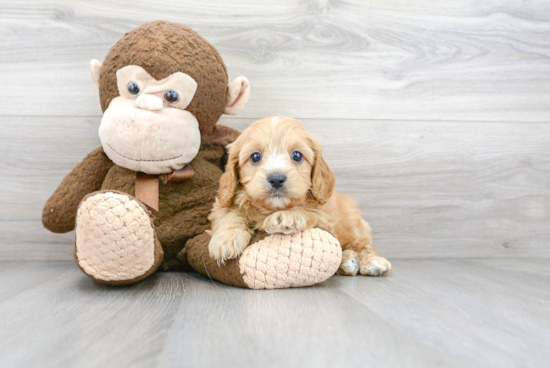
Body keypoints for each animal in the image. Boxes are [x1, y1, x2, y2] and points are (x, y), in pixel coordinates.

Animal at [207, 115, 392, 276]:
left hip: (356, 227)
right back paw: (348, 261)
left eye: (297, 155)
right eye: (255, 157)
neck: (272, 208)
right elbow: (229, 213)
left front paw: (287, 217)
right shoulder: (224, 200)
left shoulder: (326, 217)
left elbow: (310, 212)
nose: (276, 179)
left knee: (364, 246)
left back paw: (372, 263)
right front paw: (226, 240)